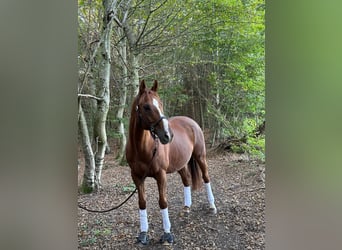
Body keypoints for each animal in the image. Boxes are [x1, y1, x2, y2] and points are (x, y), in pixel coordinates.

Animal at [125, 80, 216, 246]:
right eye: (146, 107)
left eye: (160, 103)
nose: (168, 135)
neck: (143, 149)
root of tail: (191, 121)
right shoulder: (136, 177)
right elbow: (142, 203)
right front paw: (143, 234)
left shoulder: (161, 175)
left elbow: (163, 202)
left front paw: (167, 234)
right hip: (180, 164)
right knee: (186, 180)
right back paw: (186, 208)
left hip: (200, 157)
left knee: (206, 178)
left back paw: (212, 206)